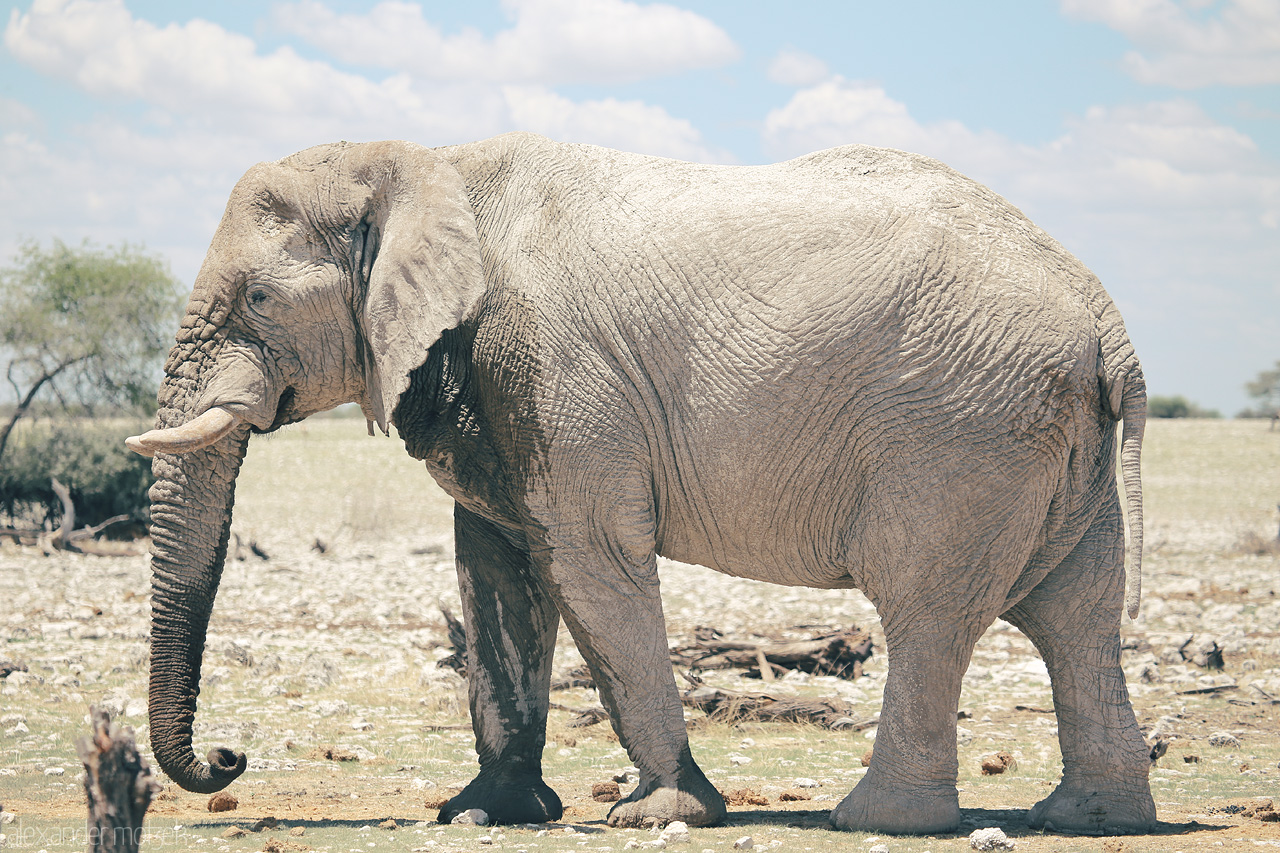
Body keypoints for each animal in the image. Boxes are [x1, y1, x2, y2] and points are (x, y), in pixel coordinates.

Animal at [124, 133, 1157, 829]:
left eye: (258, 299)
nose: (229, 756)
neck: (426, 163)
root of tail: (1105, 315)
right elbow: (496, 575)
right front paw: (484, 812)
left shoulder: (557, 368)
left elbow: (590, 563)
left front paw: (660, 812)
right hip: (1043, 438)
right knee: (1075, 615)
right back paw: (1088, 819)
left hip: (962, 431)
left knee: (927, 608)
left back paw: (875, 820)